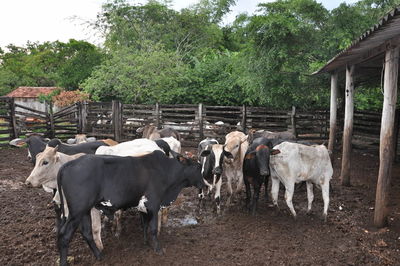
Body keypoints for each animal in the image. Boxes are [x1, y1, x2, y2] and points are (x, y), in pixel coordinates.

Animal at [56, 151, 205, 264]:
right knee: (64, 235)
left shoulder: (144, 206)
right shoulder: (154, 204)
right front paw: (158, 248)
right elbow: (153, 229)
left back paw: (99, 256)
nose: (204, 184)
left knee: (87, 233)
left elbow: (144, 225)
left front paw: (146, 243)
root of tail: (69, 163)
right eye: (198, 167)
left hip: (85, 211)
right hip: (77, 211)